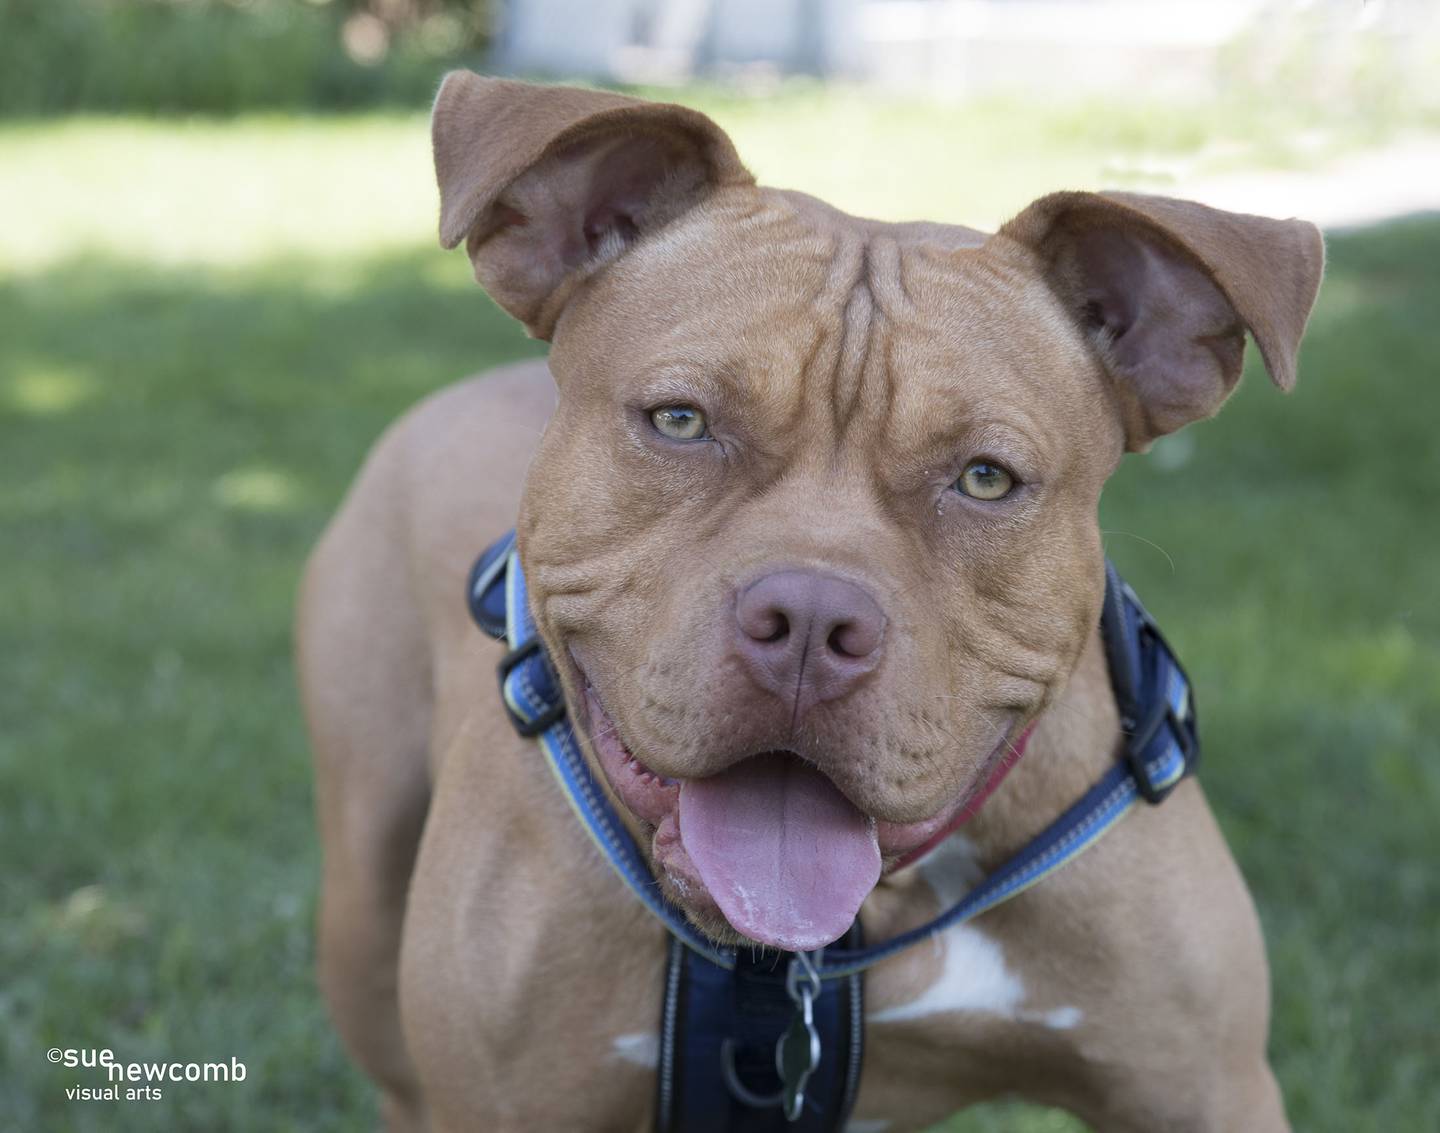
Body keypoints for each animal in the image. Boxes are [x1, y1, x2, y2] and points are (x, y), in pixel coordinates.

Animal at [298, 73, 1319, 1133]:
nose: (812, 625)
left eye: (986, 478)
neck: (812, 958)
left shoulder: (1213, 1091)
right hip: (364, 907)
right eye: (680, 420)